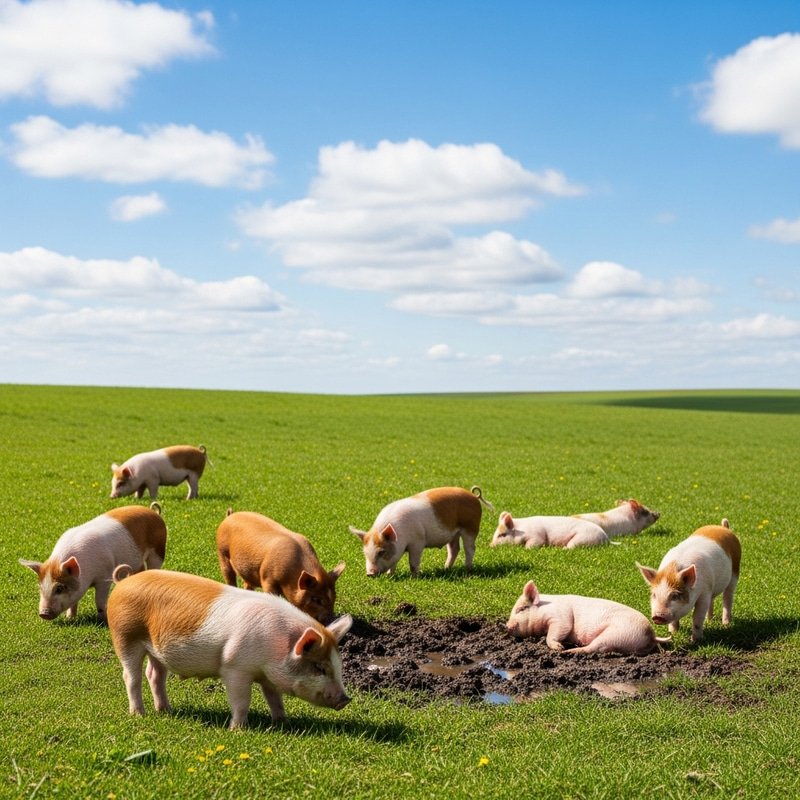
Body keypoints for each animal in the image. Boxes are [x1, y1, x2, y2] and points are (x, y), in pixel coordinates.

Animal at [19, 504, 167, 622]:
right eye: (40, 587)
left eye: (60, 588)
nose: (43, 614)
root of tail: (153, 512)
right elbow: (74, 602)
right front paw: (70, 618)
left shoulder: (105, 576)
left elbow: (99, 600)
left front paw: (102, 620)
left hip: (158, 550)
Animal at [106, 567, 353, 728]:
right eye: (319, 667)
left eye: (339, 666)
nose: (345, 700)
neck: (276, 647)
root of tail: (123, 583)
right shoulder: (234, 667)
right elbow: (241, 701)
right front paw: (239, 729)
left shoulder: (266, 675)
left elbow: (274, 697)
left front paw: (283, 722)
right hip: (125, 637)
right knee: (131, 676)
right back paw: (139, 715)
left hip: (156, 649)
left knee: (154, 674)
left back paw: (166, 711)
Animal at [216, 510, 345, 624]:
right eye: (317, 599)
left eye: (334, 596)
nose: (332, 618)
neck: (290, 577)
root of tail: (229, 516)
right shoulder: (267, 578)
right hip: (222, 553)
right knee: (229, 578)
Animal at [348, 485, 494, 577]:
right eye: (365, 553)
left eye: (381, 552)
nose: (370, 573)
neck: (401, 535)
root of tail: (474, 496)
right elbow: (394, 562)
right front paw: (390, 575)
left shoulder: (417, 542)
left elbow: (413, 561)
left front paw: (415, 576)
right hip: (454, 533)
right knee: (454, 548)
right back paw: (446, 568)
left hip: (470, 527)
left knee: (470, 548)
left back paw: (467, 569)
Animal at [506, 580, 671, 655]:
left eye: (521, 609)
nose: (506, 626)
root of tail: (652, 635)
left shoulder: (560, 617)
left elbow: (557, 631)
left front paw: (559, 648)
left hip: (617, 633)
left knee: (593, 648)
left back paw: (569, 651)